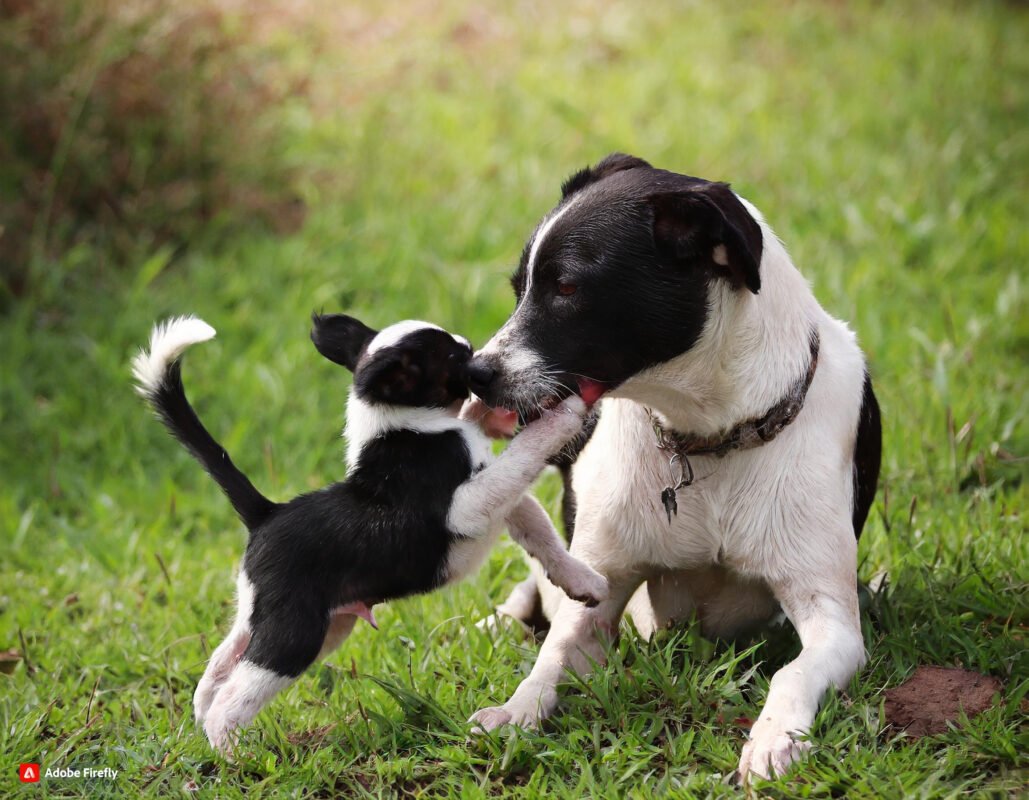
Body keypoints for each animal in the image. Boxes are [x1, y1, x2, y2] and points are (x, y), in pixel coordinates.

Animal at [132, 310, 605, 749]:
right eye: (456, 357)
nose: (476, 354)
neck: (408, 426)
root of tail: (266, 513)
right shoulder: (469, 503)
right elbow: (526, 455)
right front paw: (566, 415)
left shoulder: (499, 498)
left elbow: (538, 531)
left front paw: (582, 581)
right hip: (295, 633)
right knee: (232, 699)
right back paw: (234, 756)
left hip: (287, 618)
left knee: (217, 672)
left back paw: (202, 730)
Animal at [463, 154, 880, 778]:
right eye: (519, 290)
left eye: (566, 288)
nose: (473, 373)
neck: (707, 440)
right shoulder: (597, 591)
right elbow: (553, 655)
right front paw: (517, 710)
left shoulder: (832, 619)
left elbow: (793, 671)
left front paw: (775, 735)